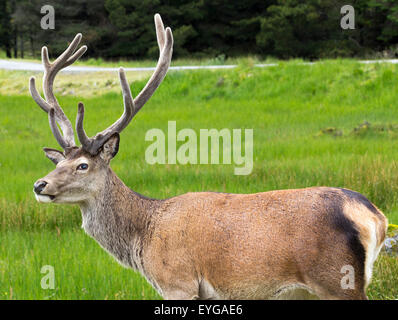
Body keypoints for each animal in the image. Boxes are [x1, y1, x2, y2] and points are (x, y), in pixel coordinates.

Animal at [31, 14, 388, 300]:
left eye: (82, 165)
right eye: (57, 162)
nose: (39, 185)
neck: (144, 236)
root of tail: (375, 216)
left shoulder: (178, 281)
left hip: (338, 279)